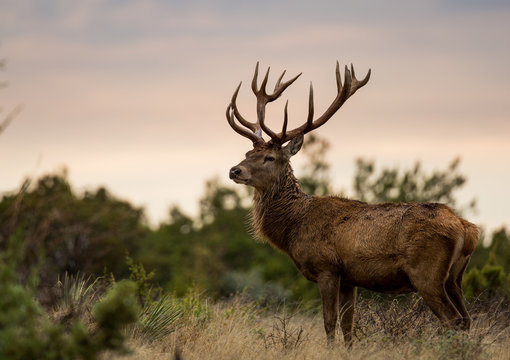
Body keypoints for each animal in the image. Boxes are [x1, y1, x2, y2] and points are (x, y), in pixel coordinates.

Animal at [225, 61, 480, 346]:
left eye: (269, 157)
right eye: (248, 152)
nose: (234, 170)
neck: (293, 227)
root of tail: (467, 228)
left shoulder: (327, 268)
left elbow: (329, 322)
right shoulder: (350, 278)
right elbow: (348, 325)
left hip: (427, 272)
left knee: (453, 320)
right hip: (455, 277)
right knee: (467, 319)